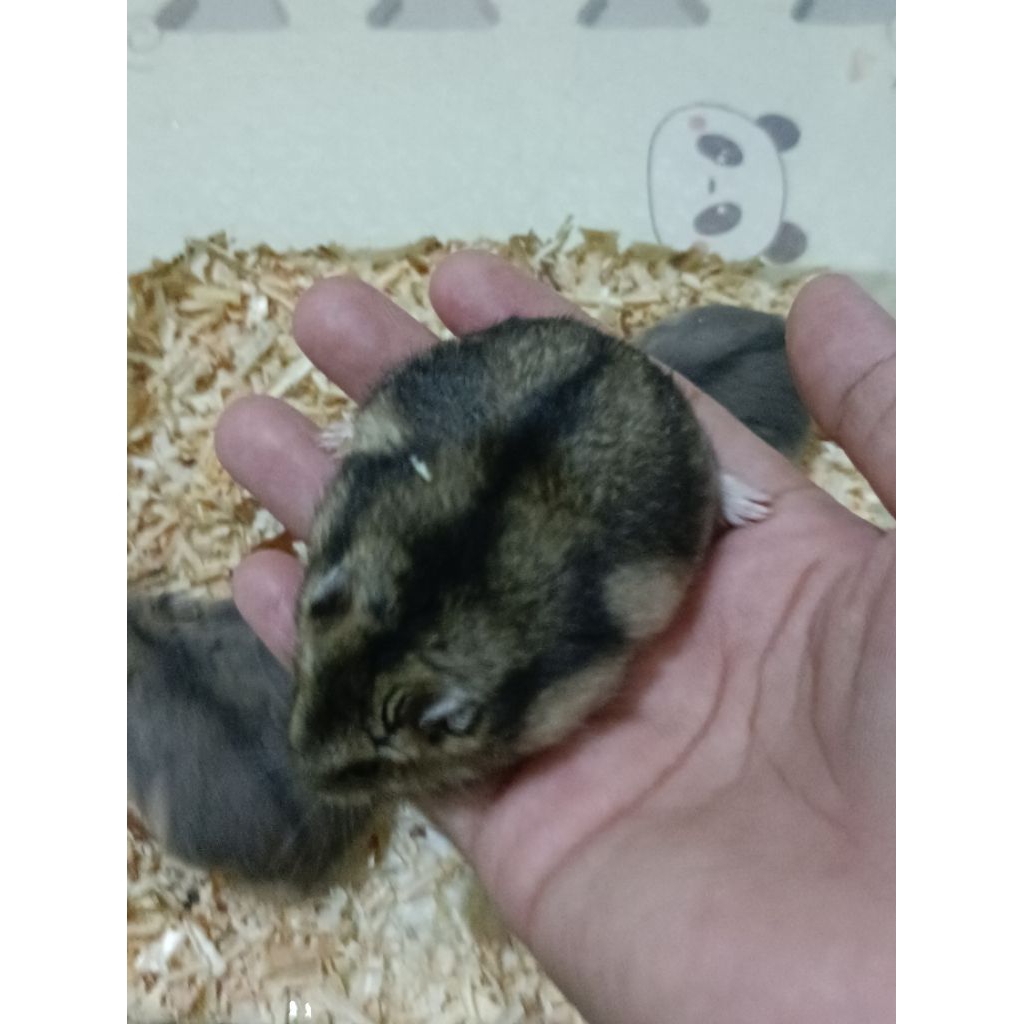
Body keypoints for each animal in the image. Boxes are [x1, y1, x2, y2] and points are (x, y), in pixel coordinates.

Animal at [291, 316, 769, 803]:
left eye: (366, 768)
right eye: (303, 690)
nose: (303, 779)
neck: (414, 626)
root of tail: (620, 352)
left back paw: (754, 508)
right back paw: (333, 436)